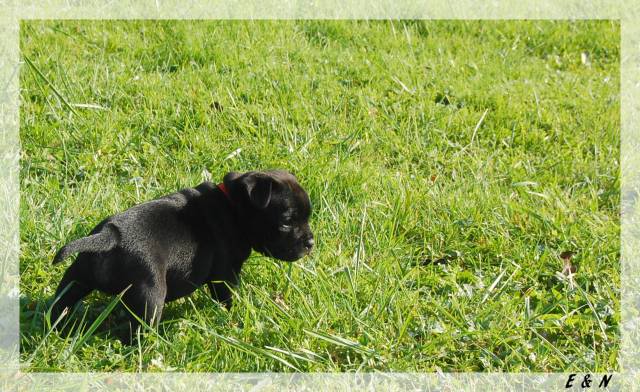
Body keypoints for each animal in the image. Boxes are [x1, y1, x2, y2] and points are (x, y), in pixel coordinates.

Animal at [48, 170, 314, 338]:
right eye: (286, 222)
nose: (311, 242)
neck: (233, 206)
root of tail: (109, 236)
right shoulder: (226, 274)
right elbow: (227, 296)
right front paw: (232, 313)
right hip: (151, 293)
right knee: (142, 328)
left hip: (75, 277)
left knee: (61, 302)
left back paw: (56, 327)